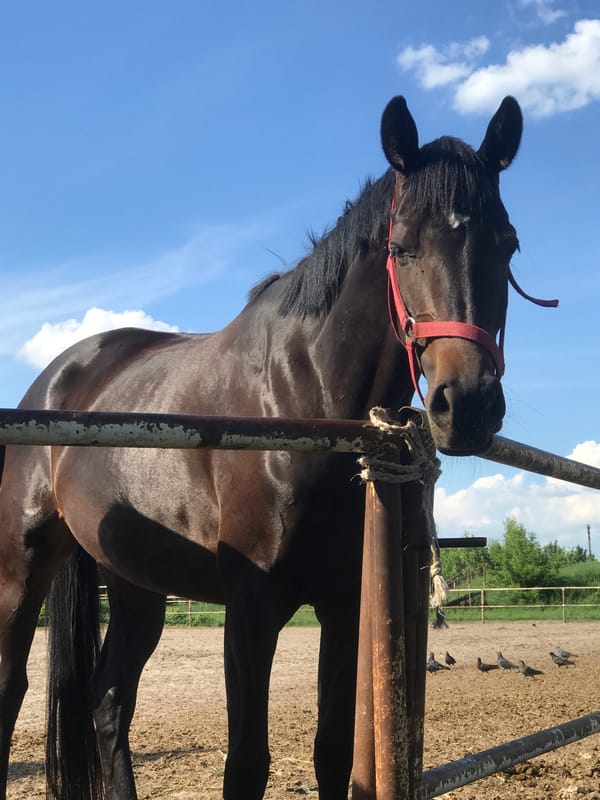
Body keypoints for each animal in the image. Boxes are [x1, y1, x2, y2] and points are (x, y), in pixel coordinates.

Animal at [0, 94, 523, 800]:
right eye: (402, 247)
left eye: (508, 244)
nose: (465, 403)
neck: (305, 400)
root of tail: (55, 377)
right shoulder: (251, 609)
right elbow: (246, 762)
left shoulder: (341, 606)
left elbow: (332, 752)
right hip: (22, 568)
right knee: (13, 690)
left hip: (135, 588)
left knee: (109, 700)